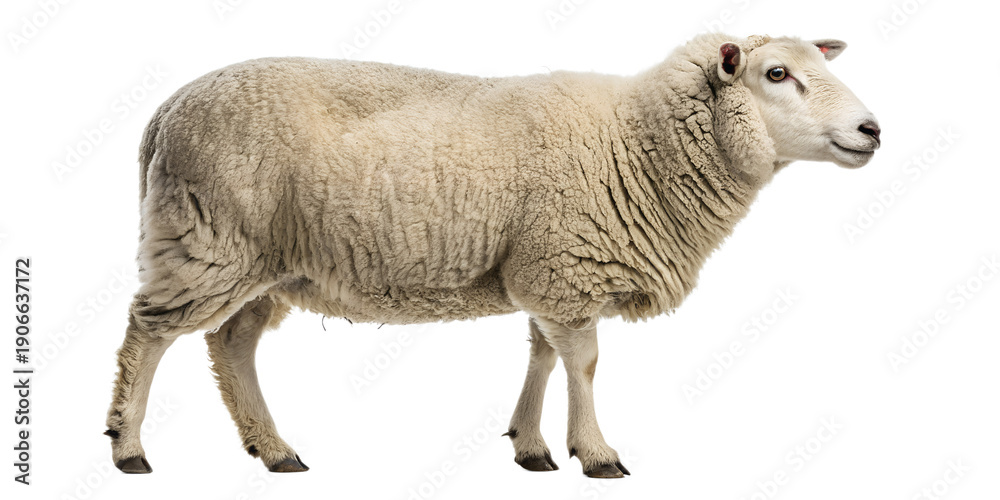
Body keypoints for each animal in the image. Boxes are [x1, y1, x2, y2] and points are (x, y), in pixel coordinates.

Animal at [105, 32, 880, 478]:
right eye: (776, 74)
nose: (873, 129)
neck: (635, 143)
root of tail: (164, 112)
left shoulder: (543, 268)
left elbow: (542, 353)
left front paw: (531, 445)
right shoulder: (565, 266)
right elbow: (584, 363)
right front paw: (596, 453)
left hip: (261, 259)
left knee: (231, 343)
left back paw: (273, 449)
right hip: (208, 236)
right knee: (149, 332)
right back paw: (128, 446)